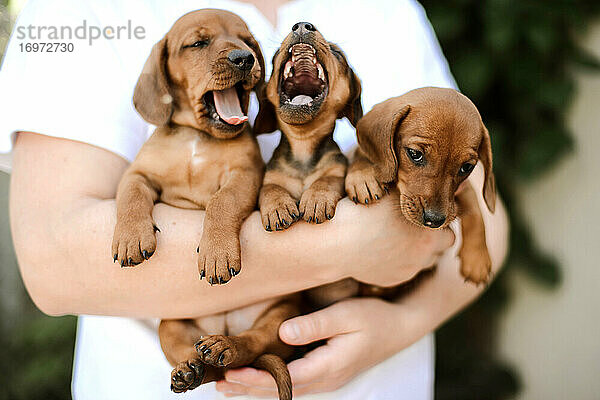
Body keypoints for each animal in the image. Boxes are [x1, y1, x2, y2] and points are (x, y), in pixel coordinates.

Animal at [110, 10, 298, 400]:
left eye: (248, 41)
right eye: (198, 43)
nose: (245, 59)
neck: (199, 137)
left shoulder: (244, 176)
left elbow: (221, 203)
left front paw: (217, 253)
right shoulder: (138, 174)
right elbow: (131, 196)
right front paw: (131, 237)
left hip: (282, 314)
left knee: (250, 346)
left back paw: (225, 346)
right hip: (170, 326)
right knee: (211, 368)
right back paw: (192, 370)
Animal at [256, 21, 364, 230]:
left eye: (337, 53)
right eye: (275, 55)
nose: (302, 25)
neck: (303, 143)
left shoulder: (336, 171)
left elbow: (326, 180)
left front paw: (316, 198)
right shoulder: (272, 178)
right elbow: (270, 189)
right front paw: (277, 206)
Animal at [346, 86, 496, 284]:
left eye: (466, 167)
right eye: (415, 154)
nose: (434, 220)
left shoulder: (461, 193)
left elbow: (475, 211)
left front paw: (477, 258)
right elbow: (360, 156)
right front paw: (362, 176)